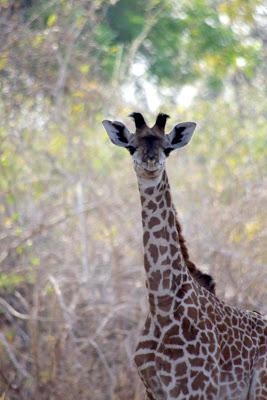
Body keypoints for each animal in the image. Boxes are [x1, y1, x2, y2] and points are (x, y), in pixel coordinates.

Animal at [102, 112, 267, 400]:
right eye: (131, 146)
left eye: (167, 147)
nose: (150, 162)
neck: (162, 305)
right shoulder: (154, 391)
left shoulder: (198, 390)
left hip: (261, 388)